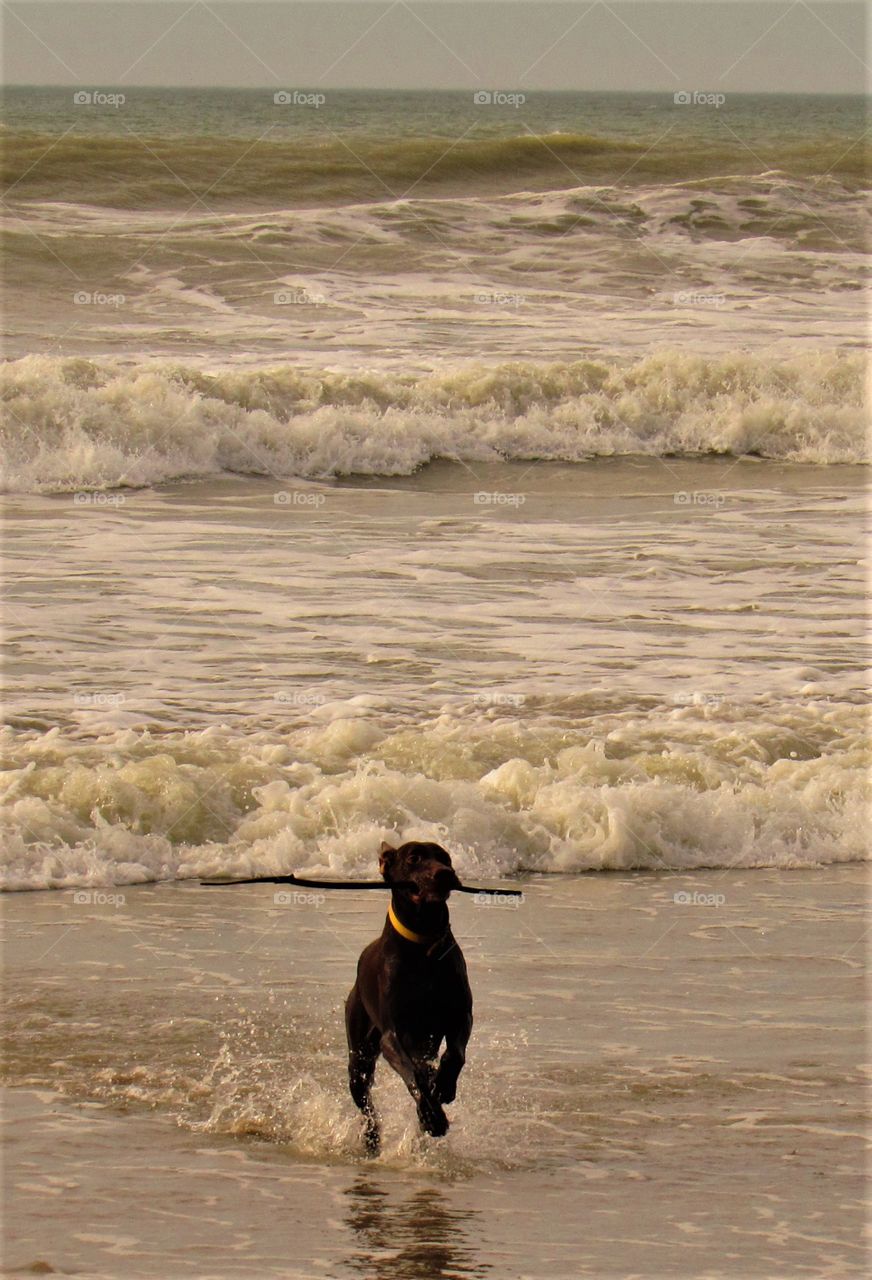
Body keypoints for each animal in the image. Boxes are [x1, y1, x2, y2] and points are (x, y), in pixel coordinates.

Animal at [343, 839, 473, 1152]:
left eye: (446, 858)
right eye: (414, 858)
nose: (445, 873)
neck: (423, 944)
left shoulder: (460, 1015)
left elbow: (455, 1053)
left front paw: (445, 1085)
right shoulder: (393, 1035)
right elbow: (412, 1074)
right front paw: (431, 1115)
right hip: (359, 1050)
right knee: (365, 1098)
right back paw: (374, 1138)